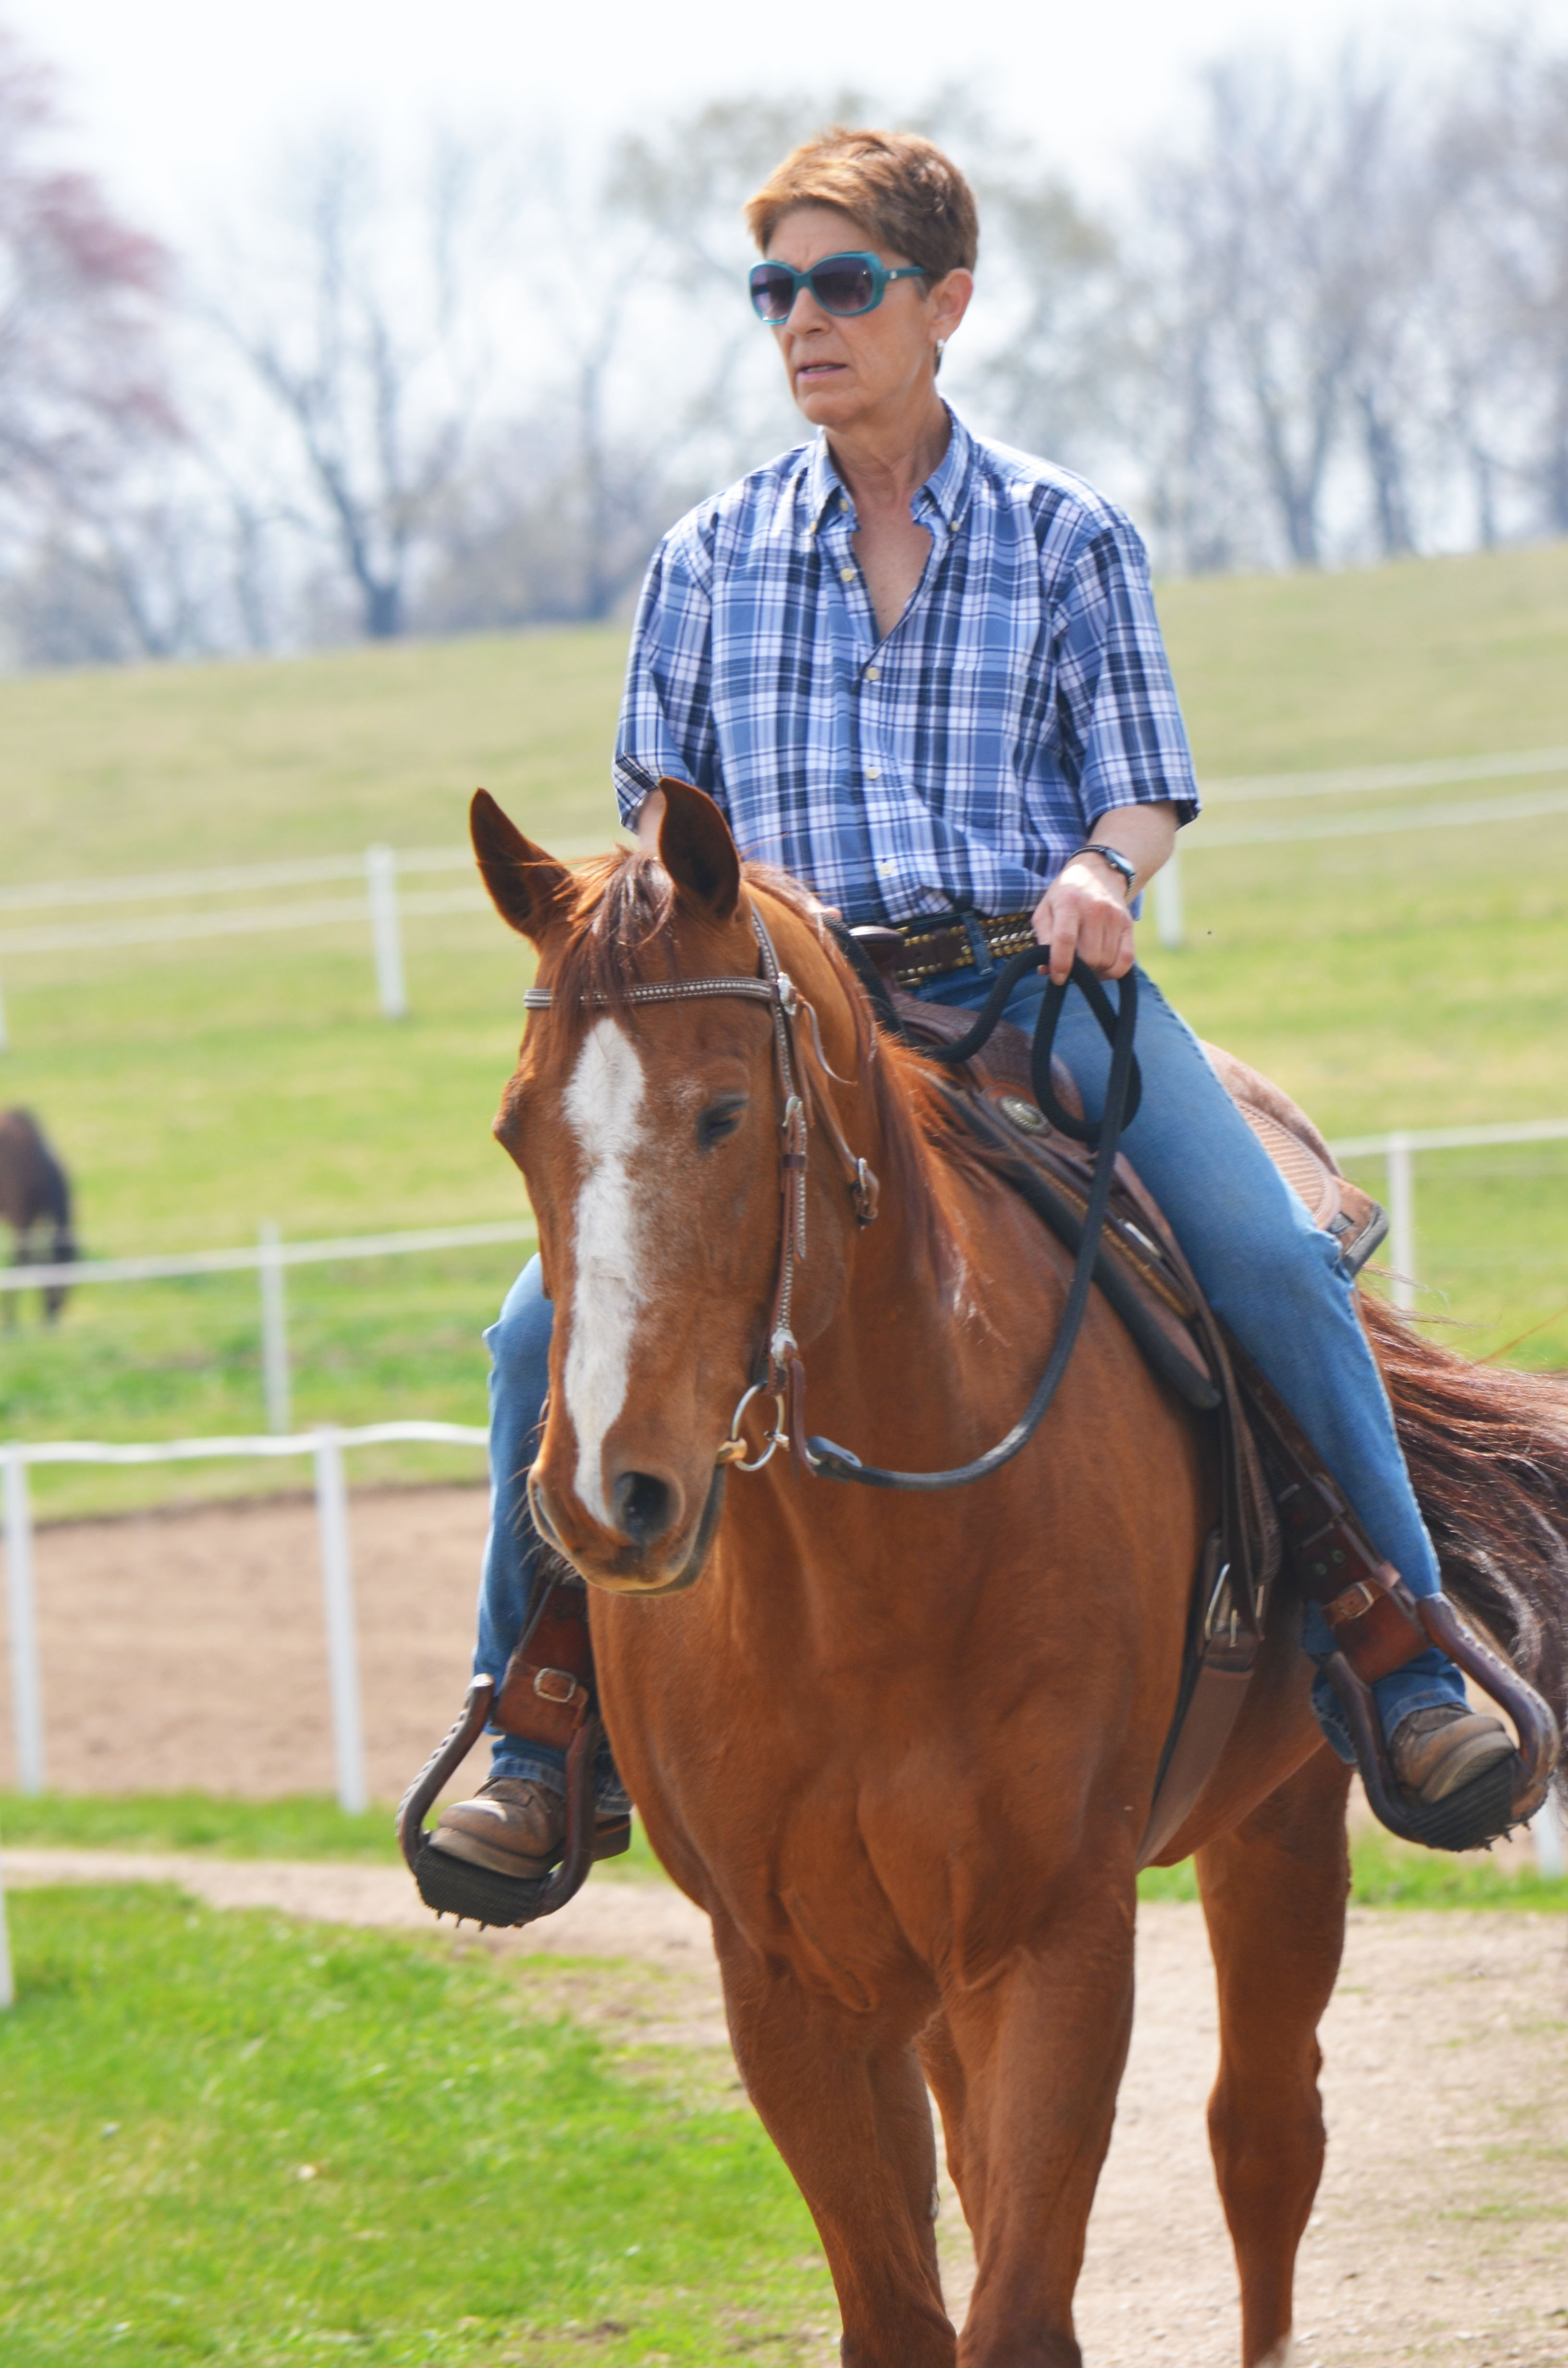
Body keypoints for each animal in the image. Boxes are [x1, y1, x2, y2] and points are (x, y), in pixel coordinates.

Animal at [0, 1103, 77, 1326]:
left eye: (72, 1279)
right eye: (54, 1278)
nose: (52, 1316)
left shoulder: (36, 1220)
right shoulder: (21, 1221)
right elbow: (22, 1262)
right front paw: (10, 1322)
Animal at [474, 781, 1568, 2368]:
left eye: (723, 1114)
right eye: (516, 1131)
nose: (606, 1494)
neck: (859, 1586)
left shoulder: (1056, 1938)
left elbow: (1022, 2302)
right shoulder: (787, 1975)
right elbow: (909, 2303)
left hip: (1279, 1822)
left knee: (1263, 2140)